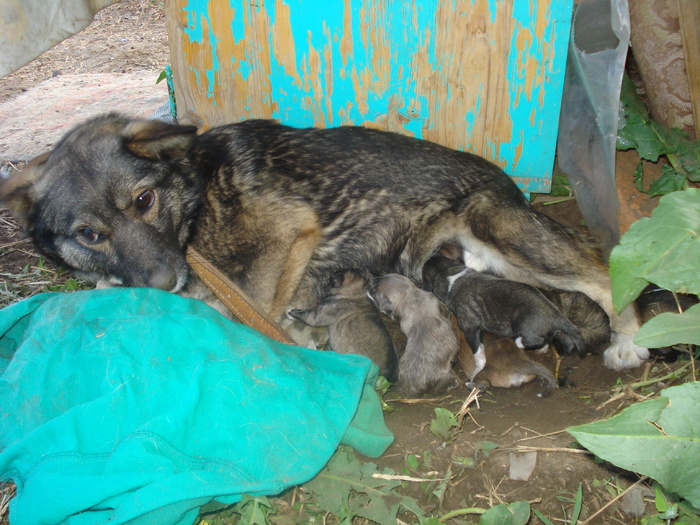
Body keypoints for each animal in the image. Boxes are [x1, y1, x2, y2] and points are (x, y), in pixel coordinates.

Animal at [0, 113, 644, 368]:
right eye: (90, 234)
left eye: (142, 201)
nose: (164, 282)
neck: (194, 203)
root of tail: (511, 184)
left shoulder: (287, 234)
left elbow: (253, 312)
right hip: (491, 261)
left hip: (505, 234)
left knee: (600, 270)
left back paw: (630, 341)